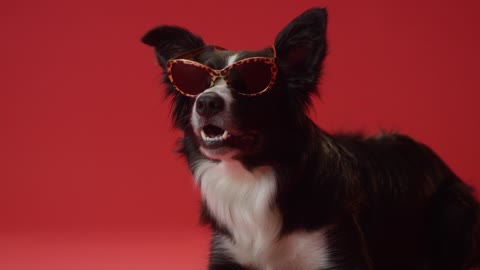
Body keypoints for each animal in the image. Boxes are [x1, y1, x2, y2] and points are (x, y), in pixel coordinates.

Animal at [142, 7, 480, 268]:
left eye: (251, 83)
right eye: (196, 83)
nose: (206, 102)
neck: (251, 177)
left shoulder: (340, 252)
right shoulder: (227, 253)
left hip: (454, 205)